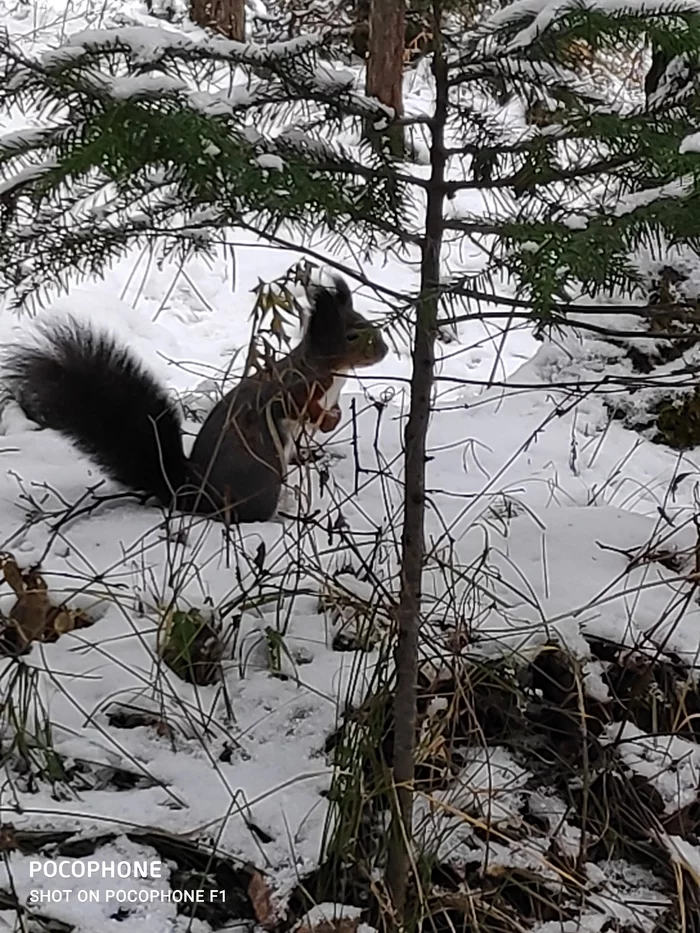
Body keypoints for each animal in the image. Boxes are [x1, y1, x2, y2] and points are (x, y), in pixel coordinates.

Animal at [2, 274, 388, 524]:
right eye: (352, 335)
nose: (383, 351)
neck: (332, 371)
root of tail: (198, 497)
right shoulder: (292, 388)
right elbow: (289, 406)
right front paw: (321, 417)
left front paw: (332, 420)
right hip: (263, 473)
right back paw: (280, 519)